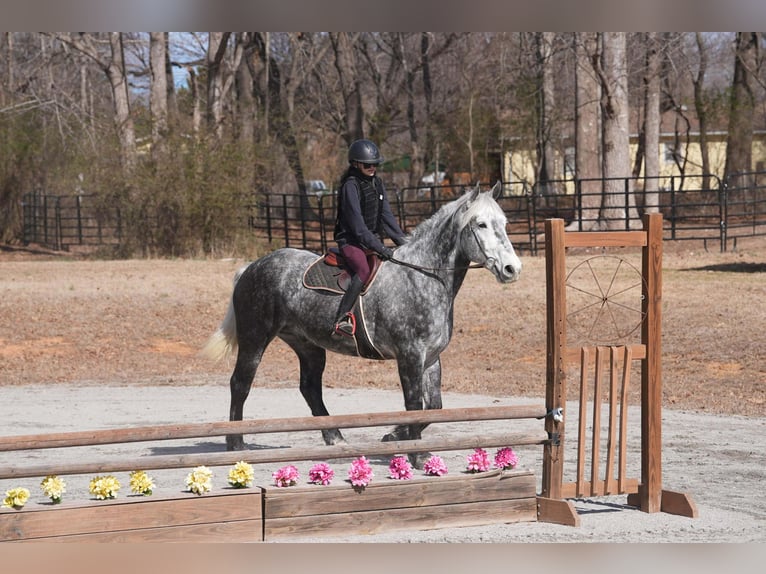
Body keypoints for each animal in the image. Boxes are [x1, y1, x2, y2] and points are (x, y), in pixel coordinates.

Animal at [202, 182, 522, 467]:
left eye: (504, 223)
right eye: (481, 224)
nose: (512, 269)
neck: (422, 277)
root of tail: (252, 266)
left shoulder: (431, 358)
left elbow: (433, 407)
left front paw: (395, 436)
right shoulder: (410, 356)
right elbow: (414, 405)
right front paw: (416, 454)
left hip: (307, 344)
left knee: (309, 388)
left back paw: (335, 438)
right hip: (255, 338)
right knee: (240, 383)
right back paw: (236, 443)